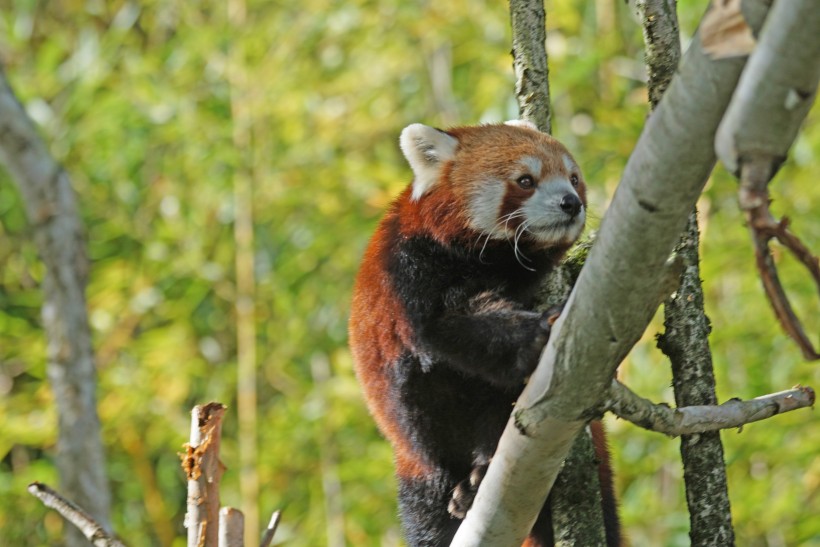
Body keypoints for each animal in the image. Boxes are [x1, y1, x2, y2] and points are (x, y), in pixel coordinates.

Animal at [350, 122, 620, 547]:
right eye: (526, 180)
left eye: (574, 178)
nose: (571, 202)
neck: (494, 260)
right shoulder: (411, 270)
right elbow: (449, 326)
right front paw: (537, 329)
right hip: (420, 460)